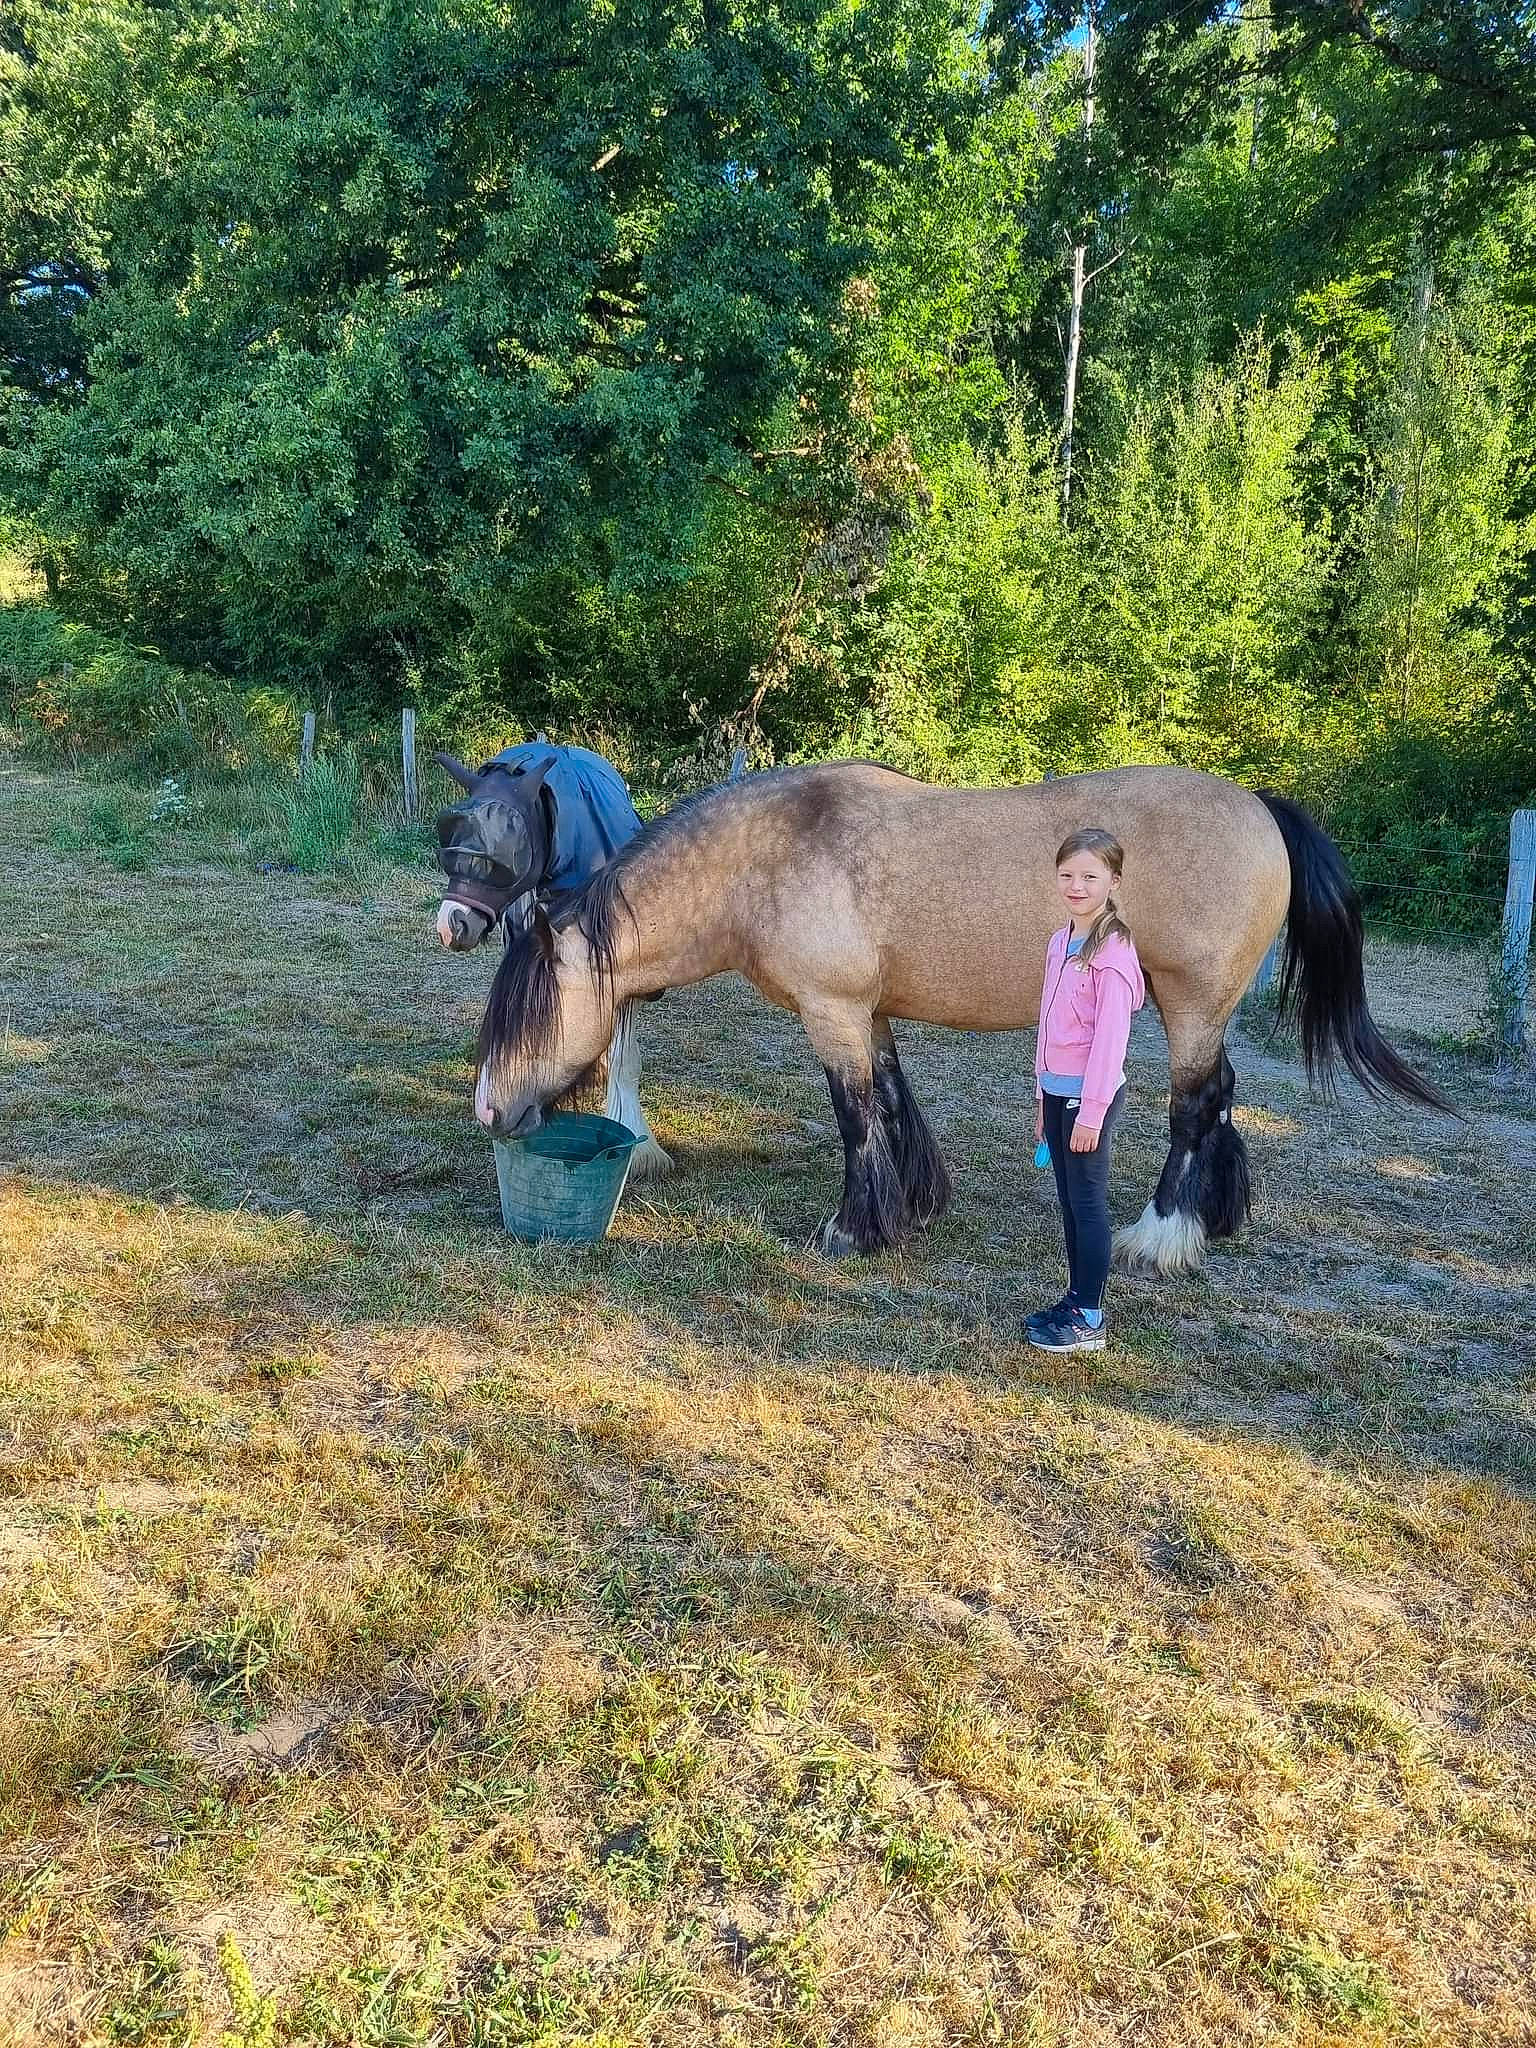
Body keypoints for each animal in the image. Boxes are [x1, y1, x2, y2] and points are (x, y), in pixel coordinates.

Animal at [469, 760, 1448, 1267]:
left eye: (530, 1015)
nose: (488, 1110)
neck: (771, 854)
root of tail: (1261, 808)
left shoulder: (831, 1011)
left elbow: (855, 1114)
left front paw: (852, 1230)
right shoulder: (868, 1011)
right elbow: (894, 1100)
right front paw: (915, 1206)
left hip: (1193, 1004)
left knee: (1194, 1107)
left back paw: (1162, 1233)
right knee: (1225, 1099)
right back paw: (1219, 1216)